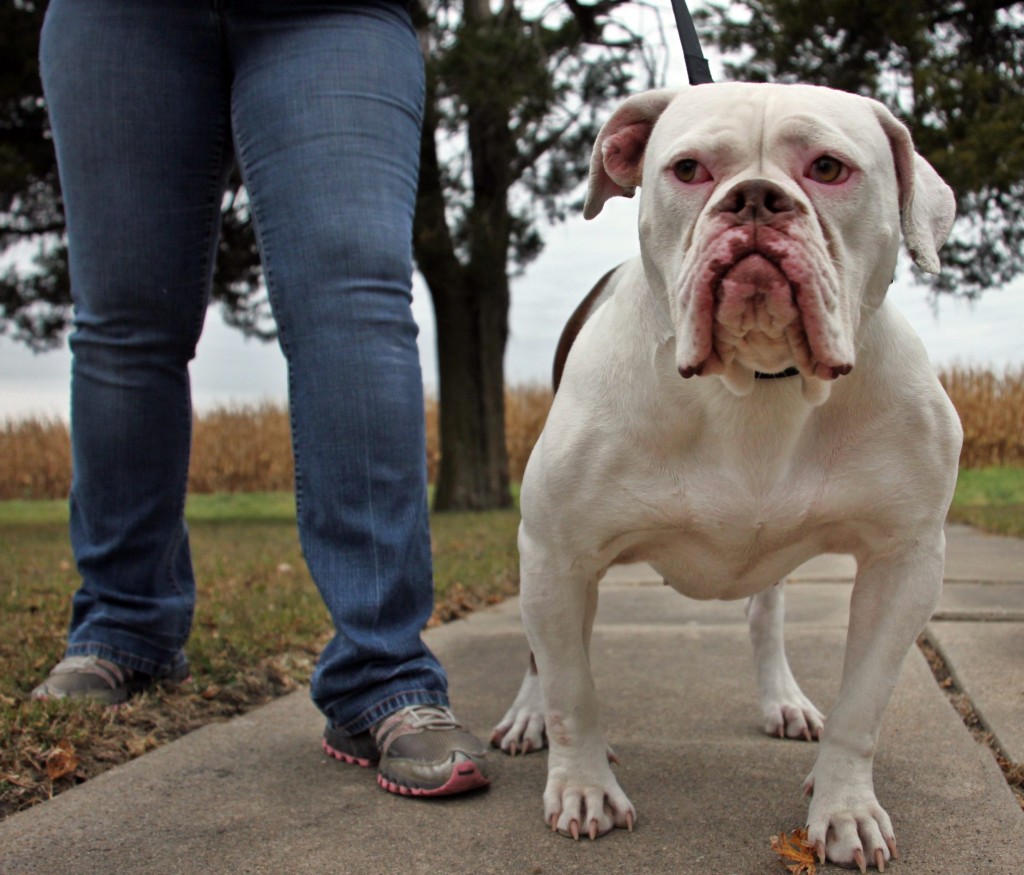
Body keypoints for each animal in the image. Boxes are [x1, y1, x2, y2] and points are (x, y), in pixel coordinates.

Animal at [491, 80, 962, 868]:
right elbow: (572, 689)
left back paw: (784, 700)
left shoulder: (905, 562)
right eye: (688, 169)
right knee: (541, 656)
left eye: (828, 168)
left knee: (763, 615)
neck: (759, 381)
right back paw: (528, 717)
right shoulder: (559, 551)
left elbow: (862, 704)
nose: (756, 200)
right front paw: (582, 787)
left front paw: (846, 808)